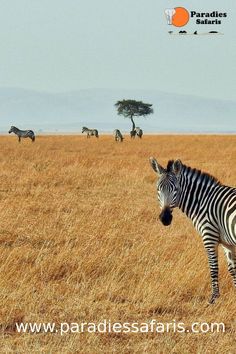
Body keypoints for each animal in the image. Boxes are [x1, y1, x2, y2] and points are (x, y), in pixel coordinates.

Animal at [150, 158, 235, 304]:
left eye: (175, 189)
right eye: (158, 189)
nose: (165, 218)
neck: (203, 201)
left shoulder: (209, 235)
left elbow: (213, 267)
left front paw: (213, 298)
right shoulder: (227, 242)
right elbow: (232, 269)